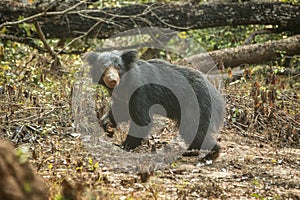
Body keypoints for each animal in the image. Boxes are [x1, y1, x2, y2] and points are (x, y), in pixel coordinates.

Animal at [85, 49, 224, 157]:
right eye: (103, 66)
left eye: (118, 66)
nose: (112, 80)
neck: (124, 86)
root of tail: (217, 95)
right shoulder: (123, 98)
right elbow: (120, 111)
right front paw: (107, 126)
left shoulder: (140, 92)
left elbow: (142, 120)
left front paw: (124, 145)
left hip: (196, 105)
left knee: (193, 129)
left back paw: (212, 151)